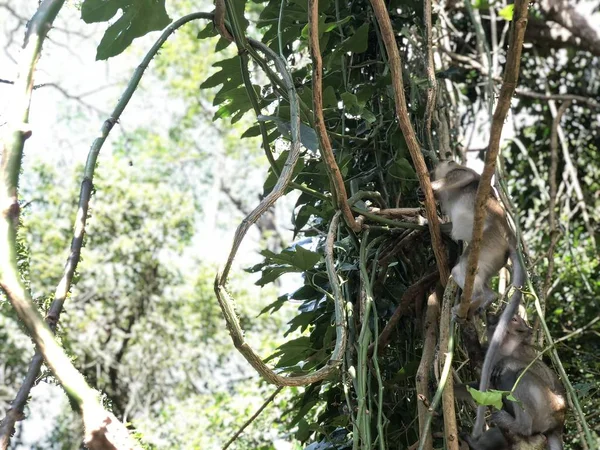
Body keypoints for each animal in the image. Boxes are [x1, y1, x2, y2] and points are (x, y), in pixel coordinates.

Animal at [432, 160, 524, 438]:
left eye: (444, 164)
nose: (438, 164)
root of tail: (509, 236)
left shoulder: (458, 174)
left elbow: (468, 177)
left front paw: (431, 186)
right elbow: (447, 227)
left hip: (488, 244)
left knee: (462, 269)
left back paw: (480, 298)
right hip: (494, 255)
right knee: (467, 273)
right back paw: (481, 301)